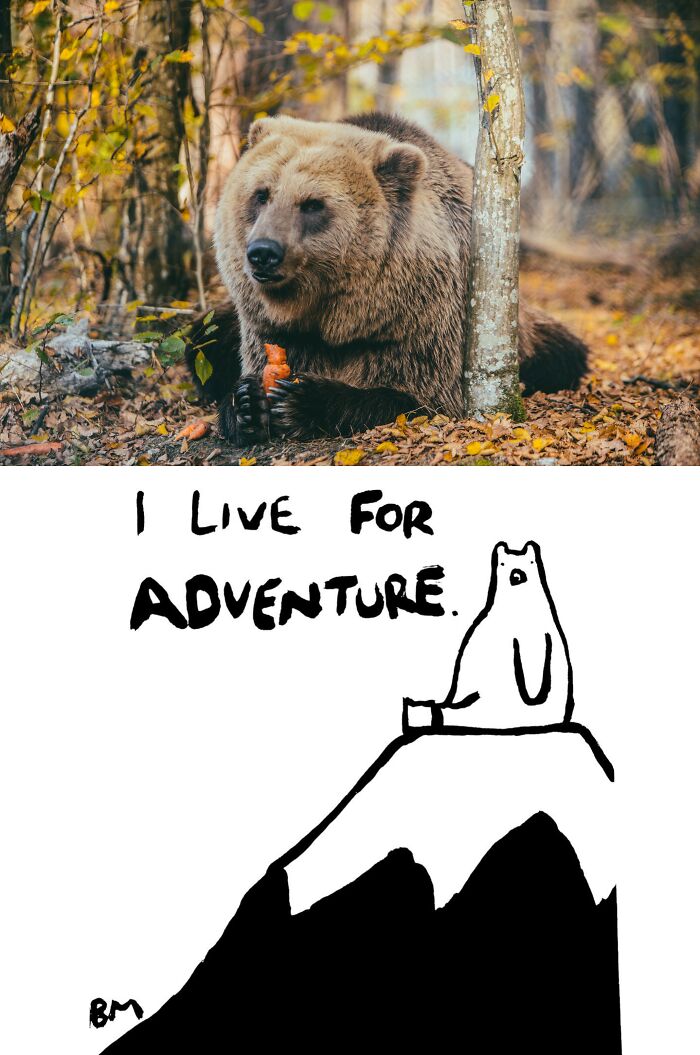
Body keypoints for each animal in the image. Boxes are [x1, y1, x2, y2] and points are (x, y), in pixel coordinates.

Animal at [192, 112, 589, 443]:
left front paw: (300, 399)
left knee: (562, 353)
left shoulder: (420, 320)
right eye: (261, 194)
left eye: (312, 204)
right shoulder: (271, 327)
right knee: (205, 338)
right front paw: (248, 402)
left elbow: (418, 397)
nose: (264, 252)